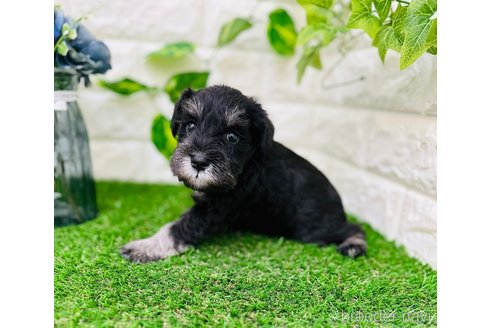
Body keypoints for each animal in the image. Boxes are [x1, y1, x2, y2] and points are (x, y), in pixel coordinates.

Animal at [120, 86, 366, 262]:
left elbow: (178, 227)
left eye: (232, 137)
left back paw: (354, 245)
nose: (198, 162)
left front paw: (144, 247)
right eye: (190, 126)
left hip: (316, 230)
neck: (247, 166)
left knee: (353, 228)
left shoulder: (217, 207)